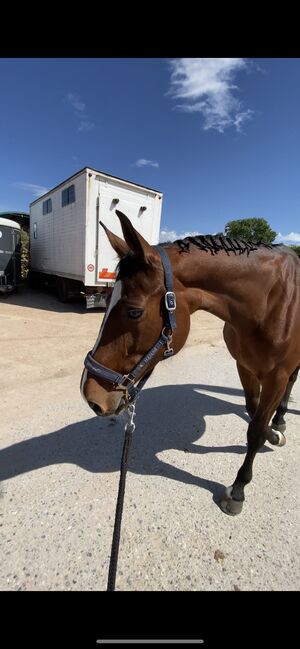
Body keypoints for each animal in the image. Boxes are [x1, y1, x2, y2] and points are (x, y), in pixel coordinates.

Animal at [80, 210, 300, 512]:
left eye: (134, 312)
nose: (90, 395)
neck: (269, 302)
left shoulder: (276, 375)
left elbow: (255, 430)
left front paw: (238, 489)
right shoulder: (244, 366)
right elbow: (253, 413)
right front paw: (271, 434)